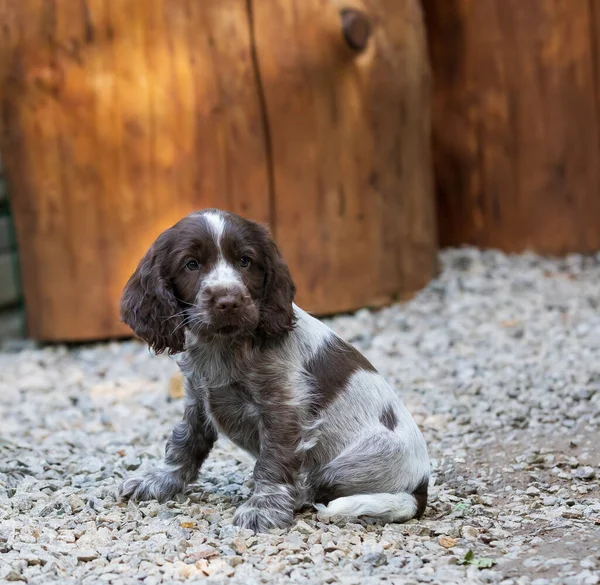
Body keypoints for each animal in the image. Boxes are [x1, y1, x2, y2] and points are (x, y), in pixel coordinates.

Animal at [119, 209, 432, 528]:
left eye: (245, 261)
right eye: (191, 264)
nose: (228, 301)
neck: (224, 346)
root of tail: (420, 488)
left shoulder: (284, 408)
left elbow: (273, 461)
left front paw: (264, 507)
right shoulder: (198, 397)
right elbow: (185, 440)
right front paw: (159, 480)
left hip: (348, 463)